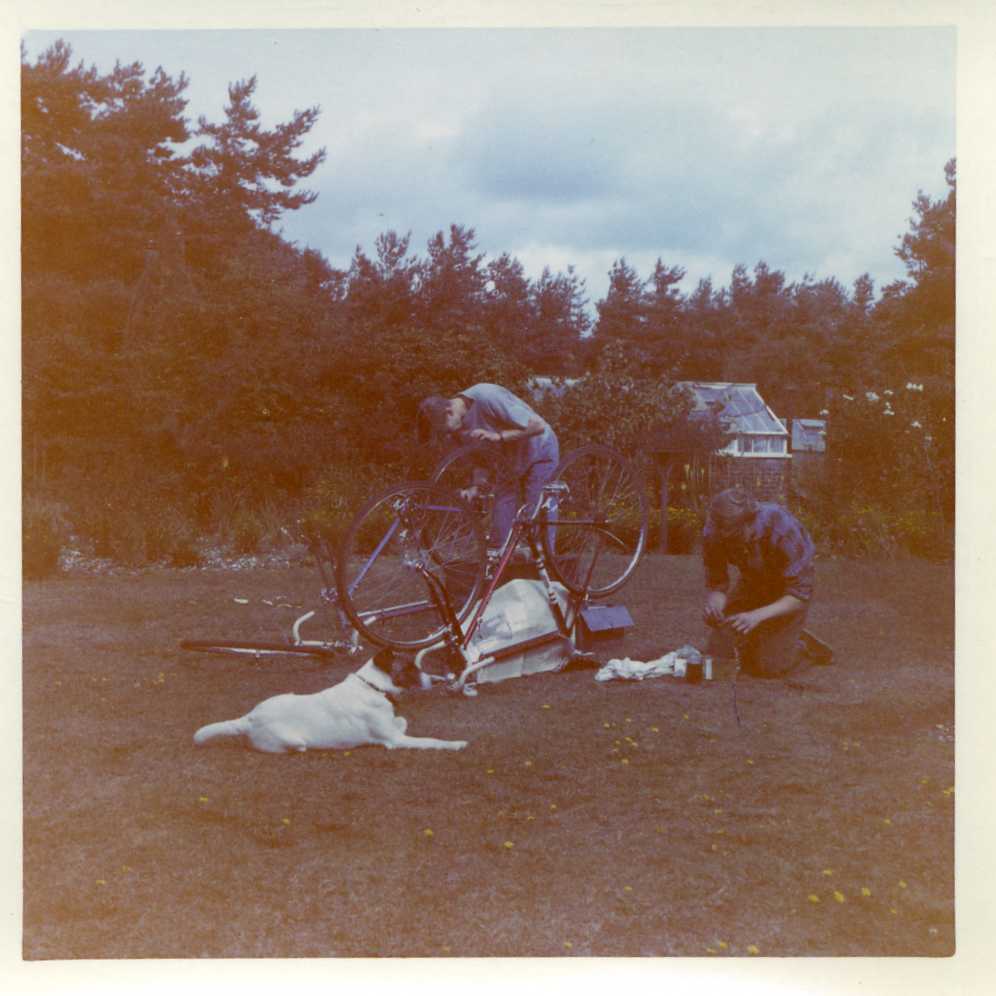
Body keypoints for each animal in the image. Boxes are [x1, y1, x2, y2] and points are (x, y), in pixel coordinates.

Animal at [193, 649, 468, 754]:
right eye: (410, 669)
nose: (437, 680)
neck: (373, 687)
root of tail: (249, 719)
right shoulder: (396, 741)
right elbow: (431, 740)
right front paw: (455, 743)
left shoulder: (394, 729)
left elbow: (402, 720)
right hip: (291, 740)